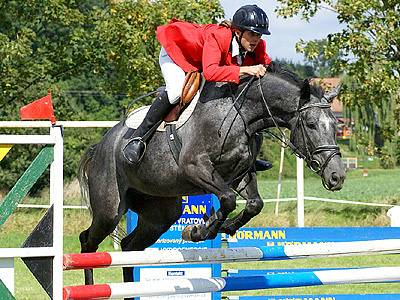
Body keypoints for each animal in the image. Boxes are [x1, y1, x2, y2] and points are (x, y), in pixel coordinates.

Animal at [77, 62, 344, 284]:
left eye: (335, 125)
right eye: (311, 124)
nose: (337, 176)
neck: (240, 114)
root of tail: (99, 146)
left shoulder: (238, 175)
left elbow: (253, 204)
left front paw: (221, 227)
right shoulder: (196, 168)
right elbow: (227, 199)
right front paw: (200, 230)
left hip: (159, 214)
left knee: (129, 246)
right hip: (109, 210)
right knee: (87, 242)